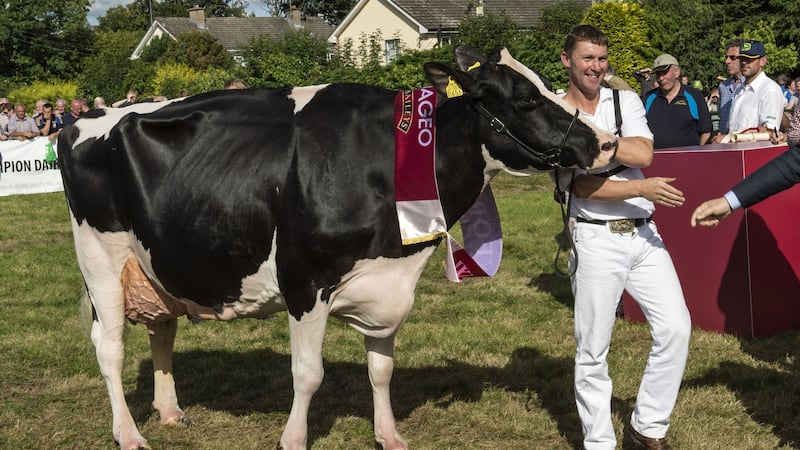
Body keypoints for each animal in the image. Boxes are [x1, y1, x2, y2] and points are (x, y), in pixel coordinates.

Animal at [59, 46, 616, 450]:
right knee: (109, 347)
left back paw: (171, 413)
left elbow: (382, 368)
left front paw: (389, 436)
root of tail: (89, 116)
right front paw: (292, 440)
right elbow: (308, 375)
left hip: (156, 264)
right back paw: (129, 434)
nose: (605, 143)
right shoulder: (304, 279)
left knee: (162, 330)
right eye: (526, 100)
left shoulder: (388, 281)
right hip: (99, 259)